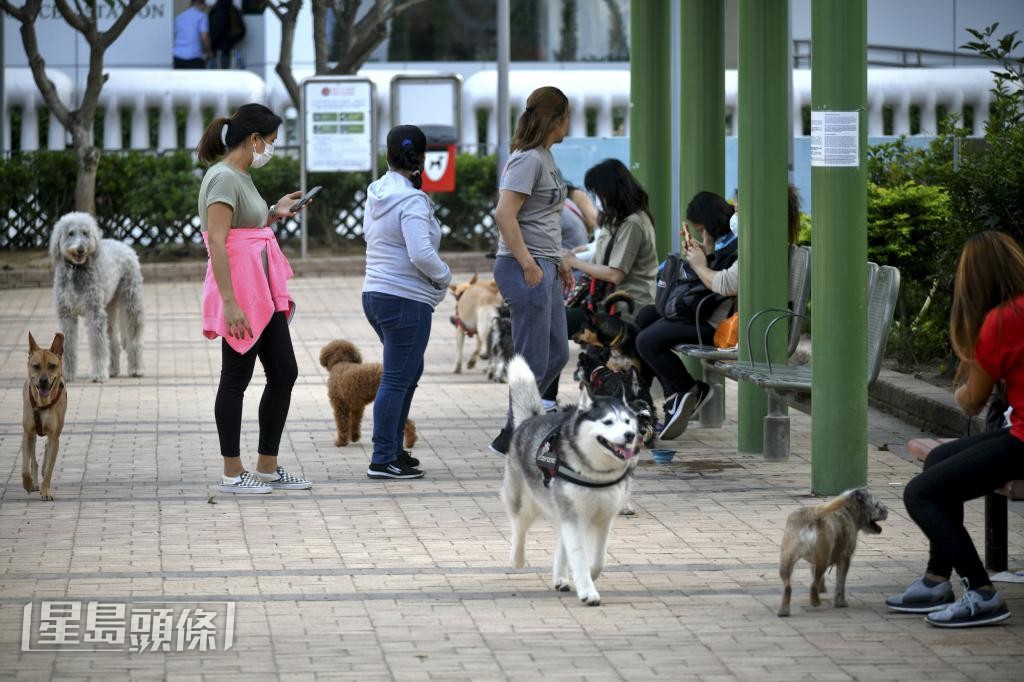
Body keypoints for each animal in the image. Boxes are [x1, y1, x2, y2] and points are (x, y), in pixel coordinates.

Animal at [22, 333, 68, 499]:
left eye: (52, 366)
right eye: (36, 366)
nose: (43, 380)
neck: (42, 404)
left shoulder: (55, 438)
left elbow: (49, 468)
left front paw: (46, 490)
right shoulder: (28, 433)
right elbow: (25, 468)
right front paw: (28, 484)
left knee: (47, 451)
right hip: (32, 436)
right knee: (33, 461)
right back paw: (34, 482)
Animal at [774, 485, 888, 614]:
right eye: (876, 505)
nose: (886, 511)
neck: (848, 510)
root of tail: (812, 514)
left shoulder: (813, 562)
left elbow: (816, 574)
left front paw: (822, 588)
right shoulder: (845, 558)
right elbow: (840, 583)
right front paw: (840, 602)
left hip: (787, 558)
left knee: (789, 586)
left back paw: (784, 610)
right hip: (823, 559)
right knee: (813, 584)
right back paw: (815, 601)